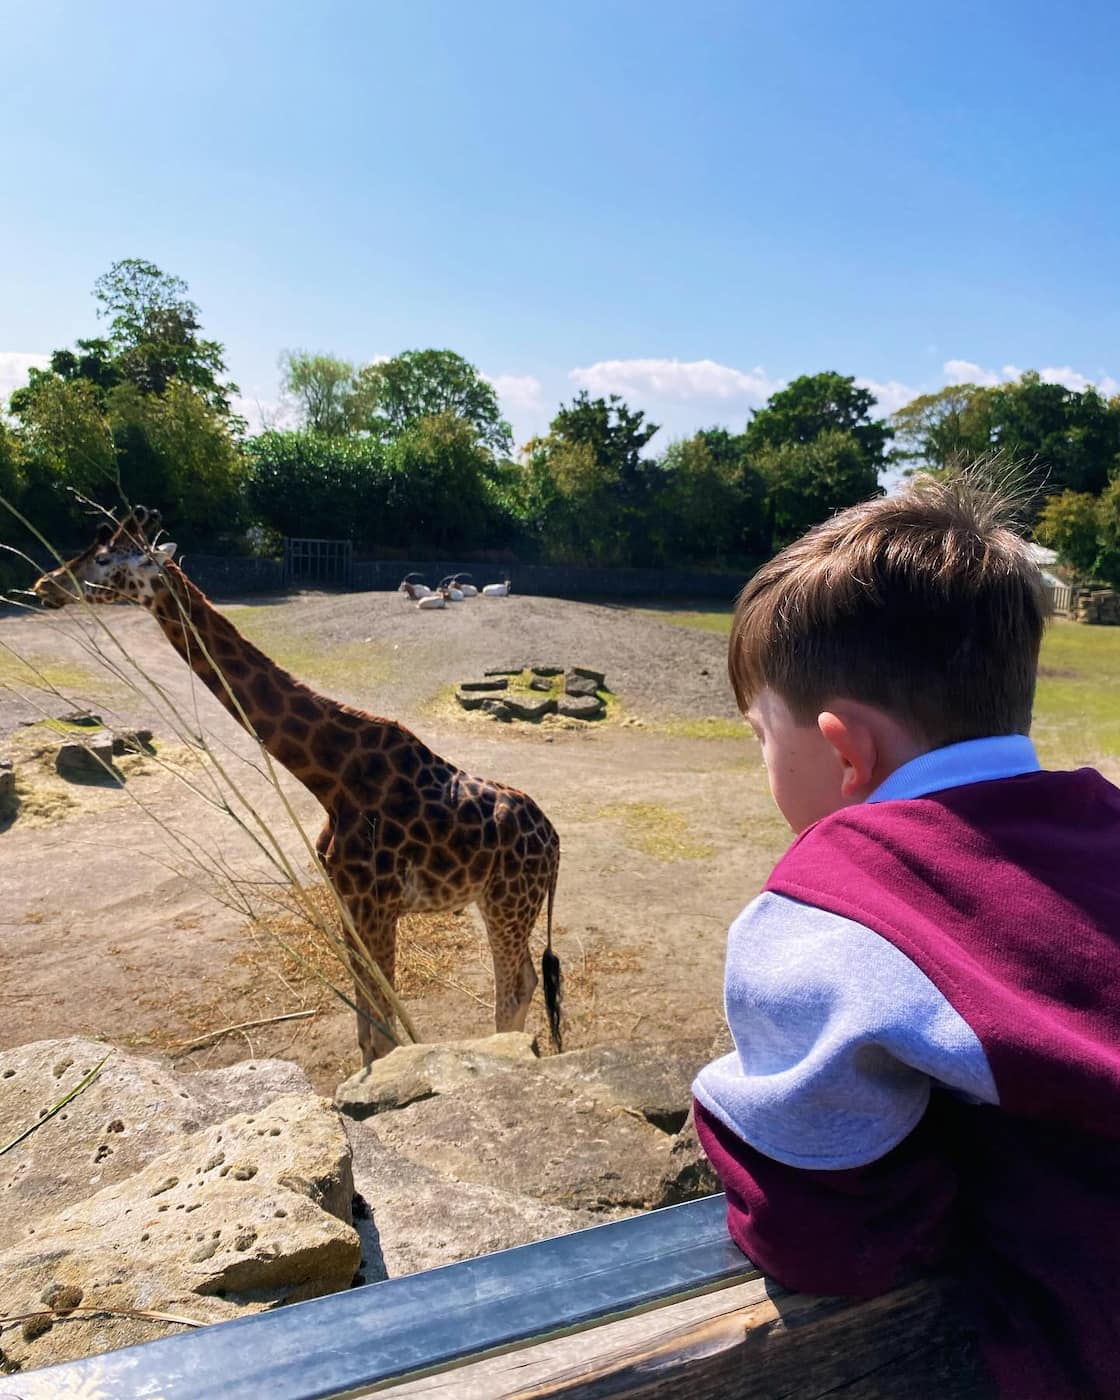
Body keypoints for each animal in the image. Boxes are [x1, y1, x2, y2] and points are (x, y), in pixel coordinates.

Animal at [33, 512, 560, 1058]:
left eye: (103, 558)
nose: (44, 585)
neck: (330, 778)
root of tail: (555, 843)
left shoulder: (376, 904)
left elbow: (383, 1027)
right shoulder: (349, 903)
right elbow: (367, 1030)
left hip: (508, 903)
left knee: (515, 984)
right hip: (499, 903)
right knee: (524, 981)